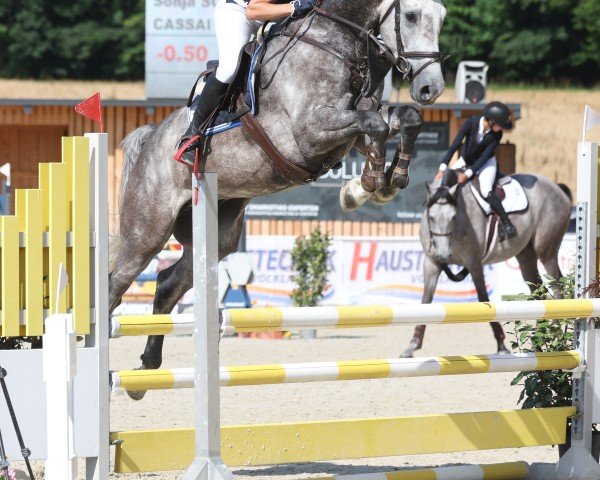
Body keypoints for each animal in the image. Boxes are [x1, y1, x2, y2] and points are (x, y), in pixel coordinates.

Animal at [112, 0, 448, 398]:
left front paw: (381, 182)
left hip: (217, 235)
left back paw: (146, 369)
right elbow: (377, 125)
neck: (334, 43)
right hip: (147, 231)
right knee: (115, 283)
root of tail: (150, 138)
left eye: (442, 18)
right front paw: (368, 184)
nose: (431, 88)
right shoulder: (311, 131)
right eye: (410, 16)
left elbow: (403, 119)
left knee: (167, 285)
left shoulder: (351, 126)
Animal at [400, 171, 568, 358]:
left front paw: (501, 345)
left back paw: (557, 334)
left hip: (546, 251)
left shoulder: (473, 263)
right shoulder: (431, 263)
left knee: (557, 287)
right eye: (431, 217)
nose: (443, 255)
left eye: (453, 217)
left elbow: (483, 299)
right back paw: (542, 338)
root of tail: (556, 187)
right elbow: (426, 301)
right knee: (539, 292)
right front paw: (412, 346)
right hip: (526, 256)